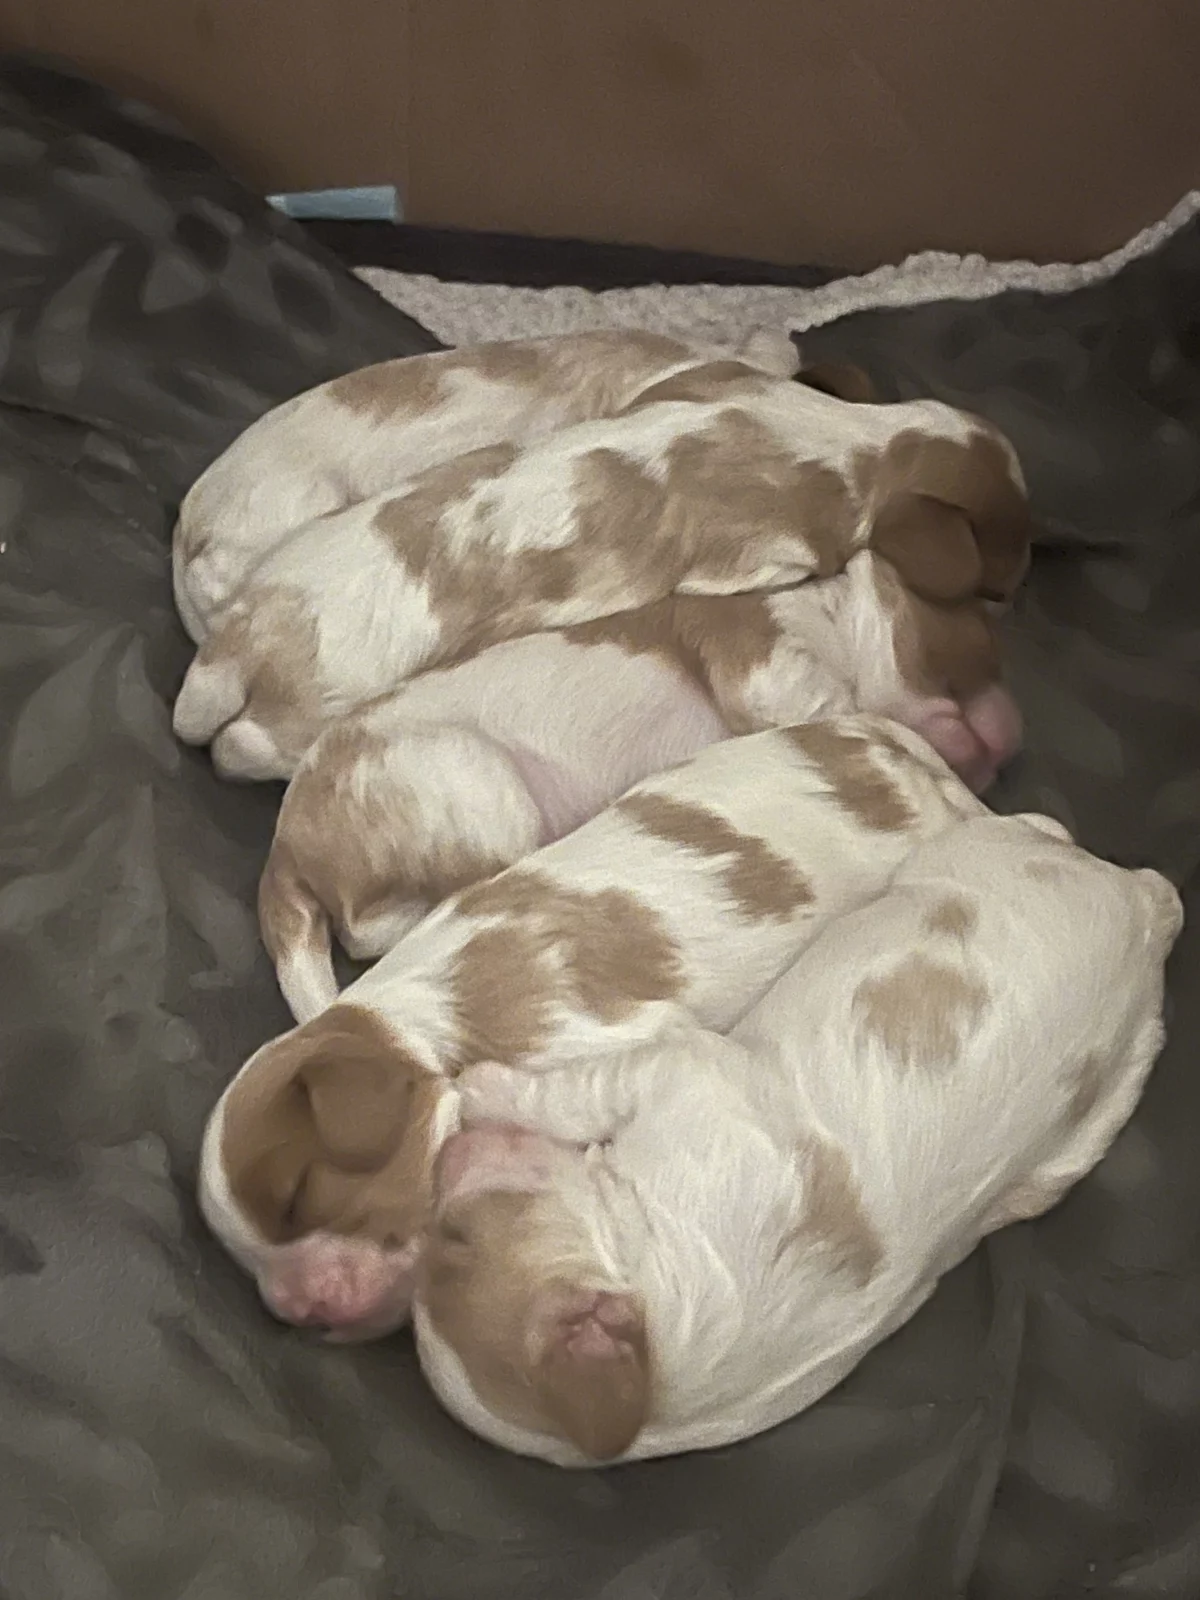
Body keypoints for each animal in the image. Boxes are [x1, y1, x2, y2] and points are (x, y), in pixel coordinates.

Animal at [172, 372, 1029, 780]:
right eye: (992, 587)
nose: (1020, 584)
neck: (857, 437)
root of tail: (239, 643)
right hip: (293, 722)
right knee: (241, 749)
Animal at [259, 551, 1020, 1023]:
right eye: (975, 653)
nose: (1012, 734)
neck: (829, 606)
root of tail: (285, 851)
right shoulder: (767, 666)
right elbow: (838, 704)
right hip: (479, 782)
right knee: (376, 925)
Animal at [413, 814, 1183, 1466]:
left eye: (454, 1240)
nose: (445, 1158)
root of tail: (1146, 910)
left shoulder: (675, 1073)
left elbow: (568, 1094)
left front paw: (478, 1085)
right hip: (1092, 1121)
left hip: (965, 857)